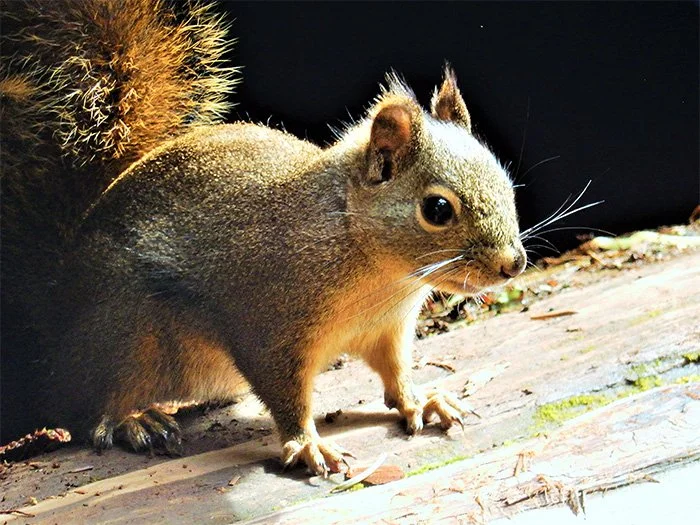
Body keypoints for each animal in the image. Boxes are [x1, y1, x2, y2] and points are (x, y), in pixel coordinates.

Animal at [0, 0, 526, 475]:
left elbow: (396, 375)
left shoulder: (388, 330)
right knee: (79, 407)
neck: (374, 268)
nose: (513, 263)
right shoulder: (266, 326)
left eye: (505, 180)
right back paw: (132, 420)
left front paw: (422, 401)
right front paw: (308, 445)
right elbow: (285, 393)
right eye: (437, 209)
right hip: (121, 336)